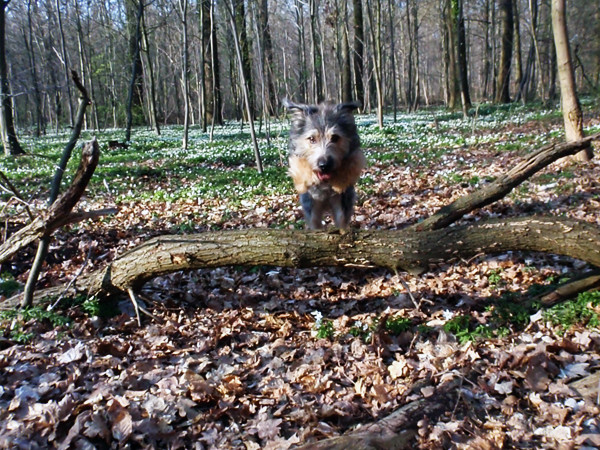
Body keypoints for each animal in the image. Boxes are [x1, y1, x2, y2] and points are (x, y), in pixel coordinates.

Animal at [284, 100, 366, 230]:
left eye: (335, 137)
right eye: (311, 139)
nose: (324, 165)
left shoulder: (342, 199)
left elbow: (341, 219)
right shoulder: (311, 203)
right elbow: (315, 222)